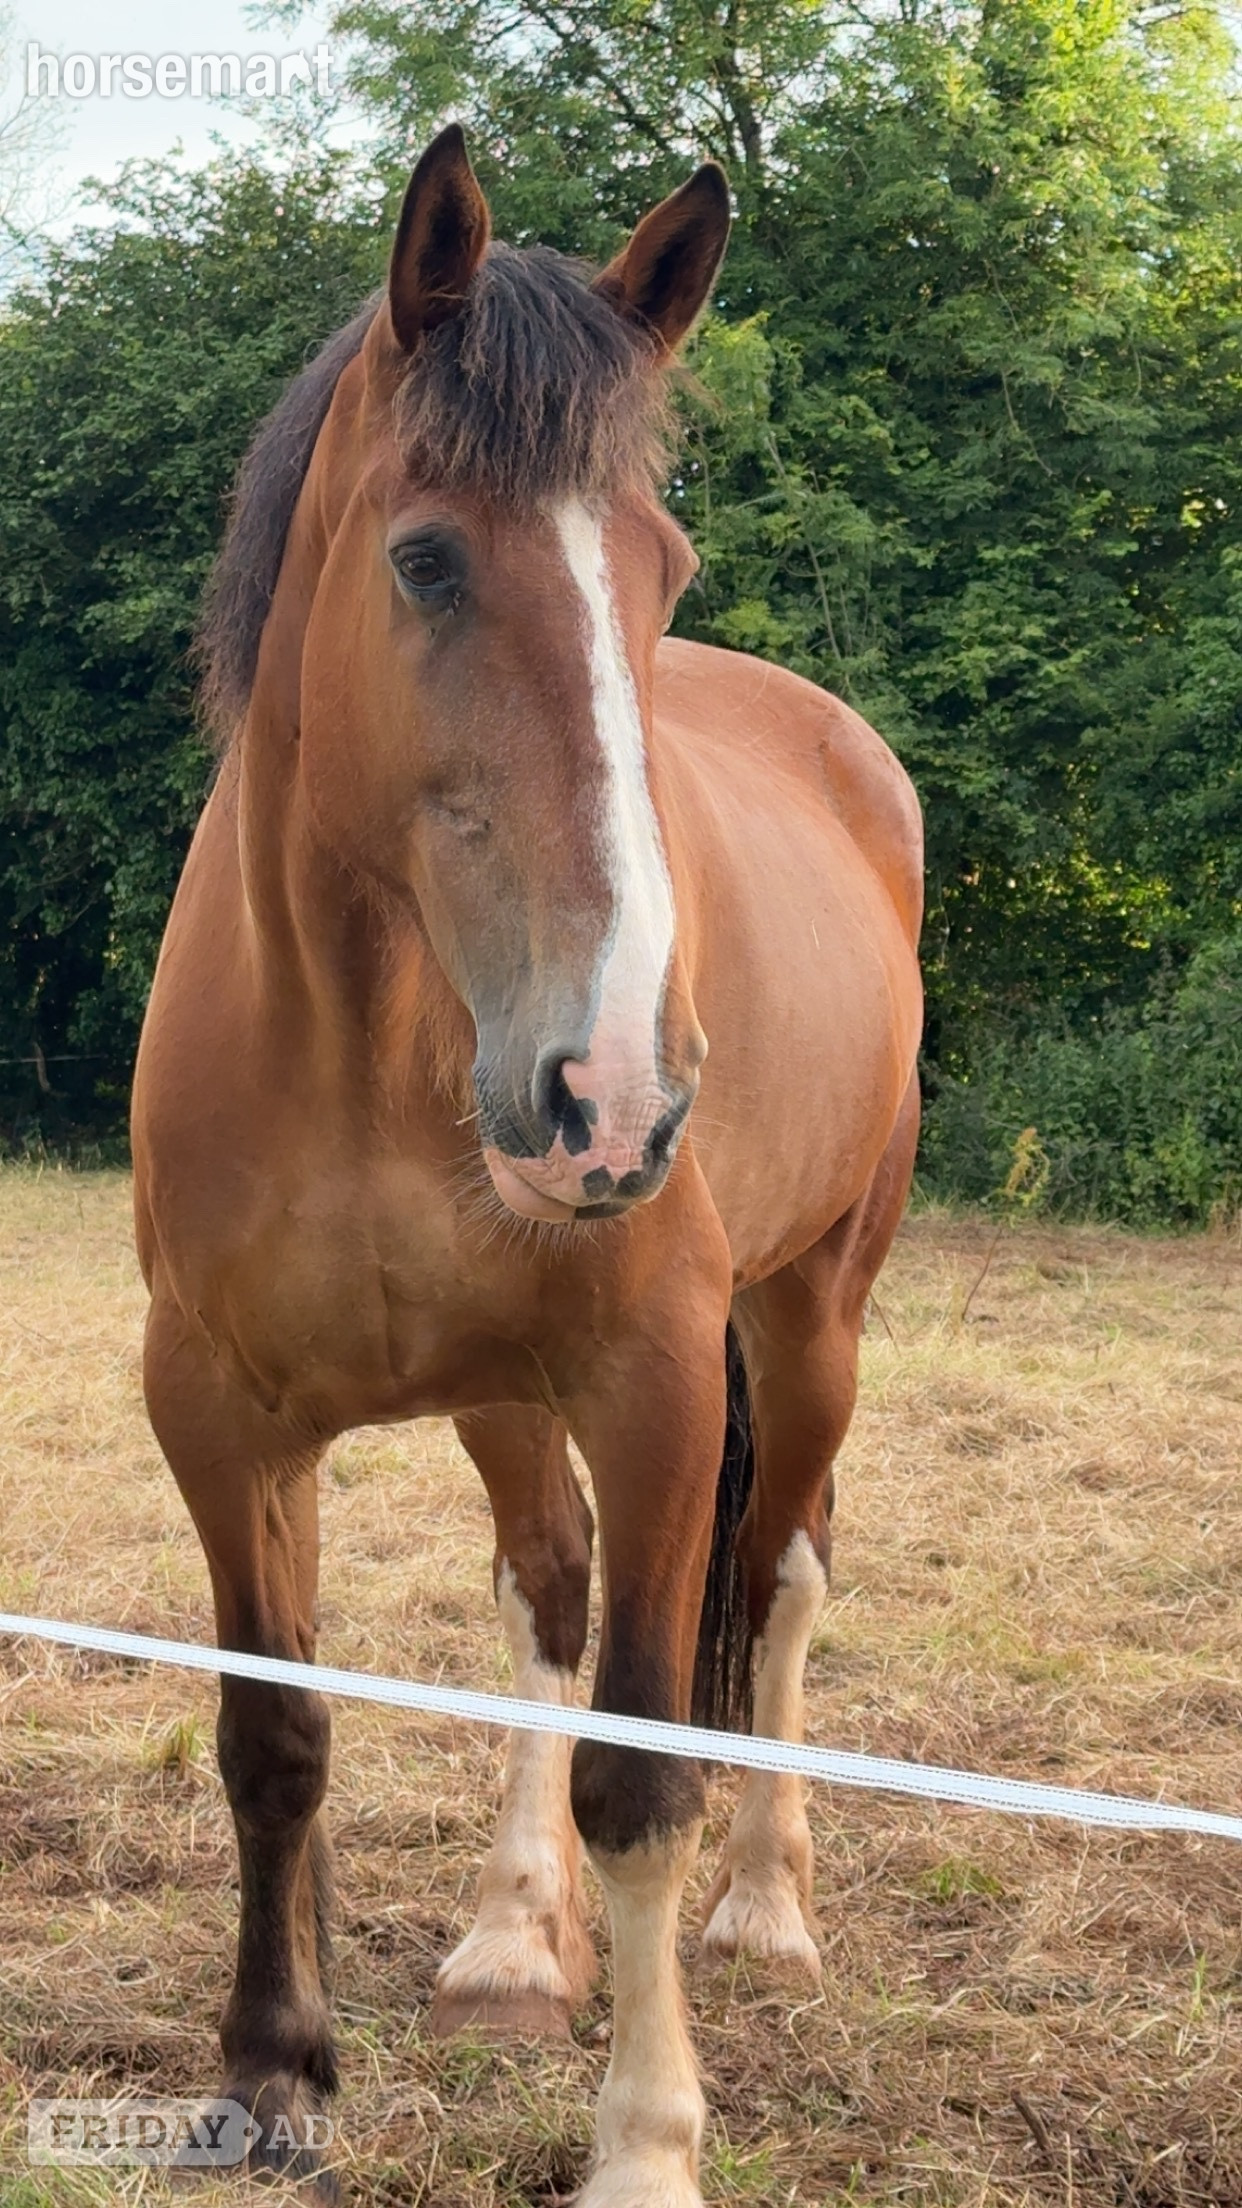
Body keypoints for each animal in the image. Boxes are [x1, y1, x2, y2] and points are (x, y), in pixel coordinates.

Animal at [131, 123, 923, 2207]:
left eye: (664, 572)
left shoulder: (653, 1383)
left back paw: (768, 1909)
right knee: (543, 1595)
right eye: (424, 557)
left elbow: (643, 1770)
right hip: (501, 1390)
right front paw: (272, 2070)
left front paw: (645, 2141)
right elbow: (277, 1734)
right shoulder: (218, 1414)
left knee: (781, 1576)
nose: (617, 1092)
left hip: (809, 1323)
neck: (365, 1037)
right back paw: (507, 1935)